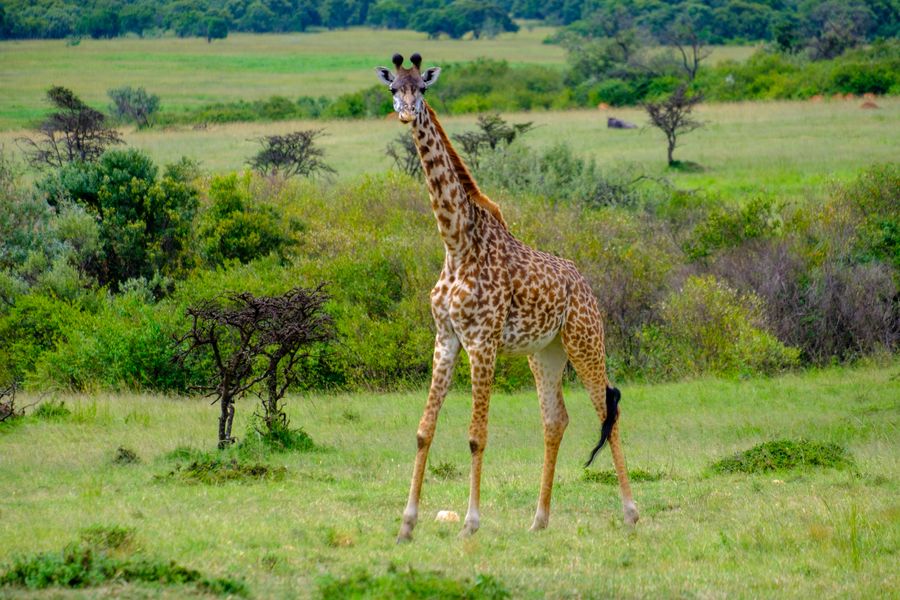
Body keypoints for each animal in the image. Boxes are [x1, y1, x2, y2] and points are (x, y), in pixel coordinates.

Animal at [375, 53, 639, 542]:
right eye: (393, 89)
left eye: (422, 87)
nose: (405, 113)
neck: (456, 243)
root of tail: (585, 284)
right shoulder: (446, 337)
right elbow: (424, 431)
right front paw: (406, 525)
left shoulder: (482, 341)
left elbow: (476, 435)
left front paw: (470, 524)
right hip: (546, 353)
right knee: (556, 420)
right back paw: (539, 519)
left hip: (586, 342)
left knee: (606, 414)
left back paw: (631, 513)